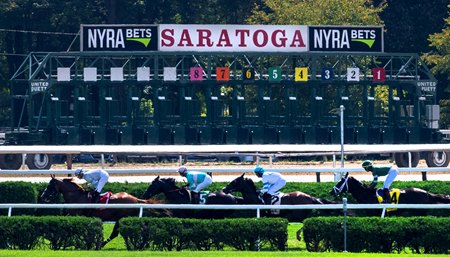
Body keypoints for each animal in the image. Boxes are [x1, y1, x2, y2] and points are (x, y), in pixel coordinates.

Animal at [40, 175, 171, 247]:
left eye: (50, 186)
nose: (42, 197)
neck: (77, 196)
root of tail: (135, 199)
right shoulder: (74, 214)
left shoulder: (76, 214)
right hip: (122, 218)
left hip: (121, 217)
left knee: (116, 233)